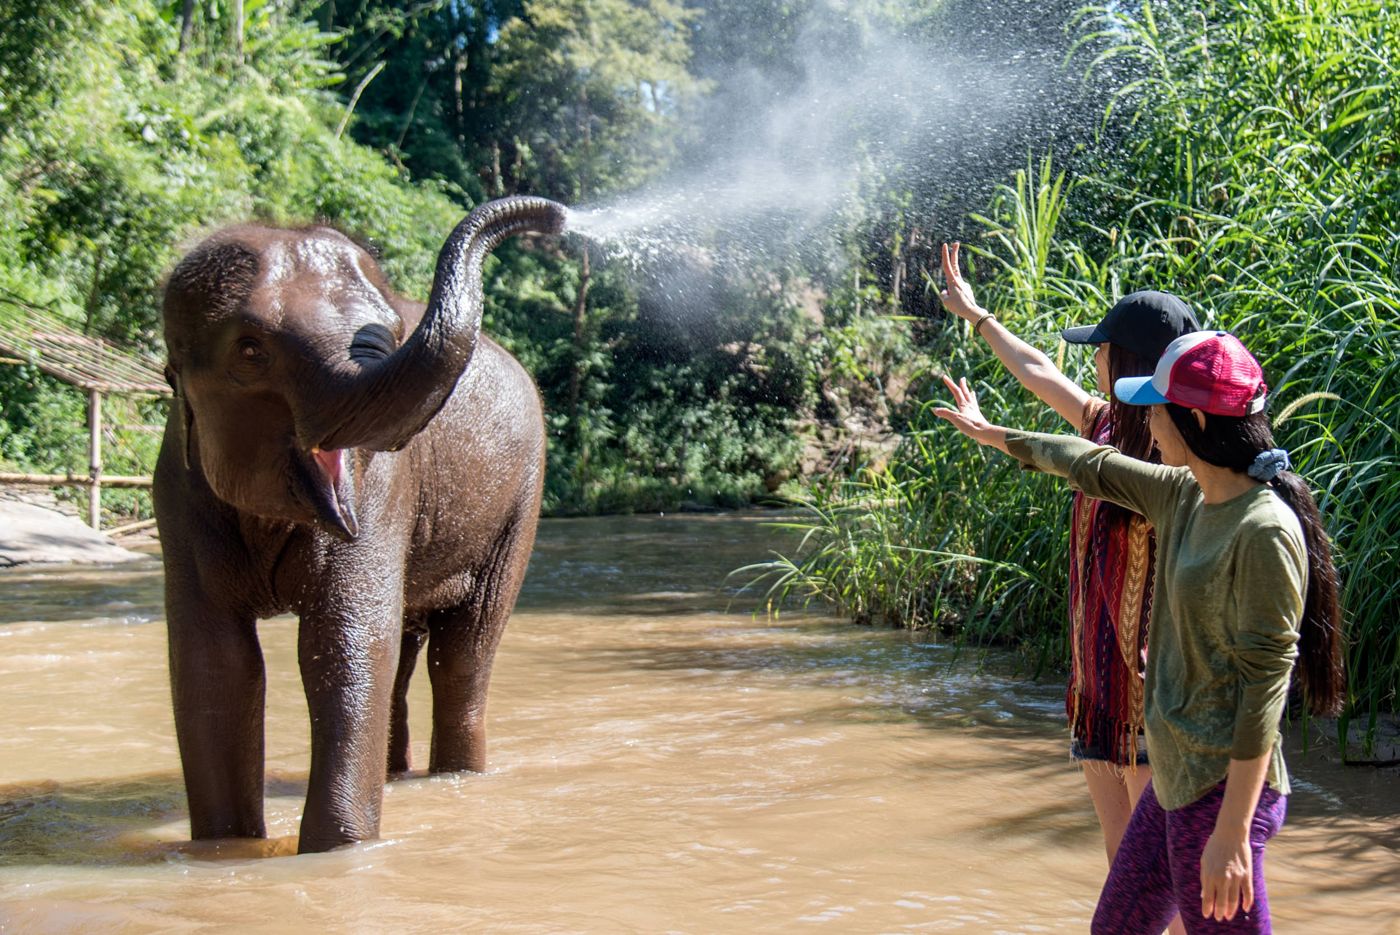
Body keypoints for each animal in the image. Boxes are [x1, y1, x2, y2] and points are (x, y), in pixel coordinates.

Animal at [153, 196, 568, 854]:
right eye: (250, 351)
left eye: (391, 331)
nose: (556, 217)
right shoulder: (177, 495)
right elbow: (215, 662)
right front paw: (224, 850)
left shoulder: (384, 487)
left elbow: (343, 642)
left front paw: (338, 851)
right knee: (406, 655)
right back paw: (397, 776)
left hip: (518, 506)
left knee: (463, 653)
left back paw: (454, 775)